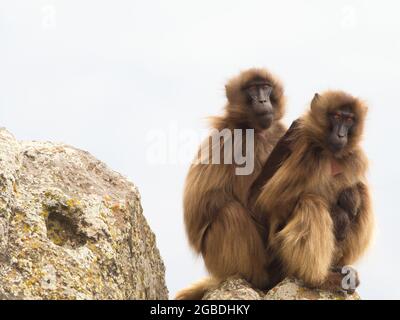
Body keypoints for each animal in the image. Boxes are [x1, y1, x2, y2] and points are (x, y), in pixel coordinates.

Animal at [176, 68, 288, 300]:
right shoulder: (240, 144)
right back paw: (258, 279)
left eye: (266, 87)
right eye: (252, 89)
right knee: (229, 212)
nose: (263, 100)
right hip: (219, 259)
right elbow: (253, 203)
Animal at [256, 91, 376, 294]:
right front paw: (340, 215)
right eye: (336, 116)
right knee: (311, 203)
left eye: (349, 119)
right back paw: (318, 279)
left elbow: (355, 188)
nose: (341, 134)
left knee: (363, 193)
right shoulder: (304, 152)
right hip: (282, 256)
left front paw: (350, 197)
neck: (329, 154)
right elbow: (273, 204)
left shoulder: (354, 158)